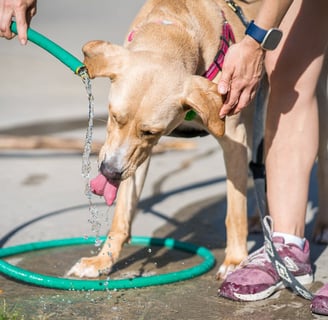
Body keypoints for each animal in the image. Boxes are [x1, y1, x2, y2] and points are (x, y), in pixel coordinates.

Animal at [66, 0, 262, 278]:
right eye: (114, 117)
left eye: (151, 132)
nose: (109, 172)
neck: (173, 28)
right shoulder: (134, 157)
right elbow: (122, 214)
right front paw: (103, 259)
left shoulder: (234, 140)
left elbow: (234, 211)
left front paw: (235, 259)